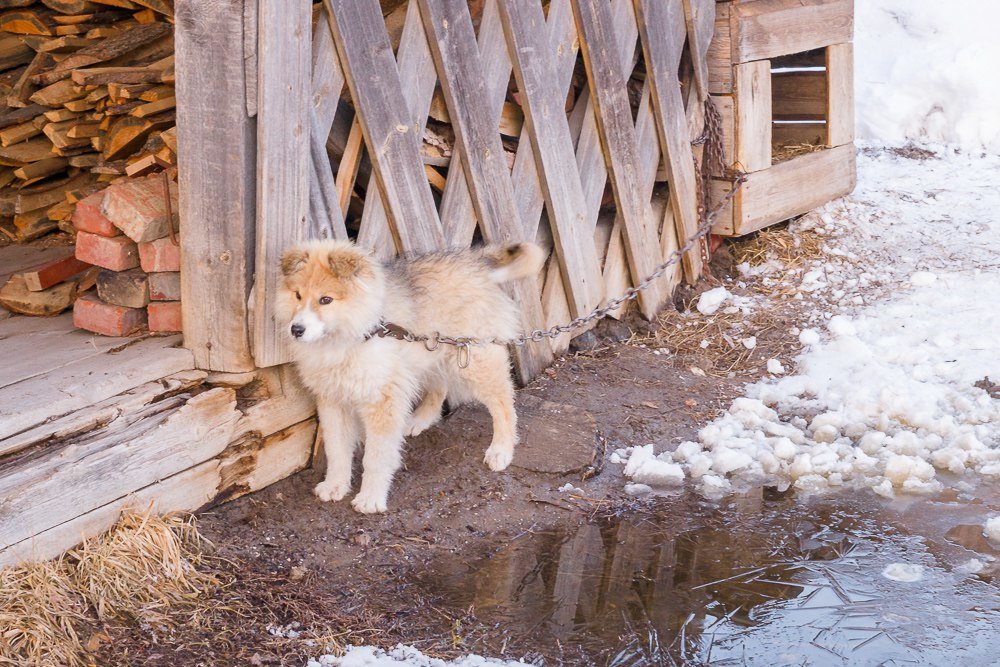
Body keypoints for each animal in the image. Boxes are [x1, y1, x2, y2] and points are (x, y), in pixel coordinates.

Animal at [276, 243, 548, 516]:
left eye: (326, 300)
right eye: (297, 295)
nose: (296, 330)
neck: (354, 334)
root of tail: (476, 260)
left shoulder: (382, 401)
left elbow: (376, 456)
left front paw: (371, 498)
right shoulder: (332, 401)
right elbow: (337, 450)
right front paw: (335, 485)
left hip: (472, 360)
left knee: (503, 404)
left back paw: (501, 449)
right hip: (430, 351)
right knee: (440, 387)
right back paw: (420, 420)